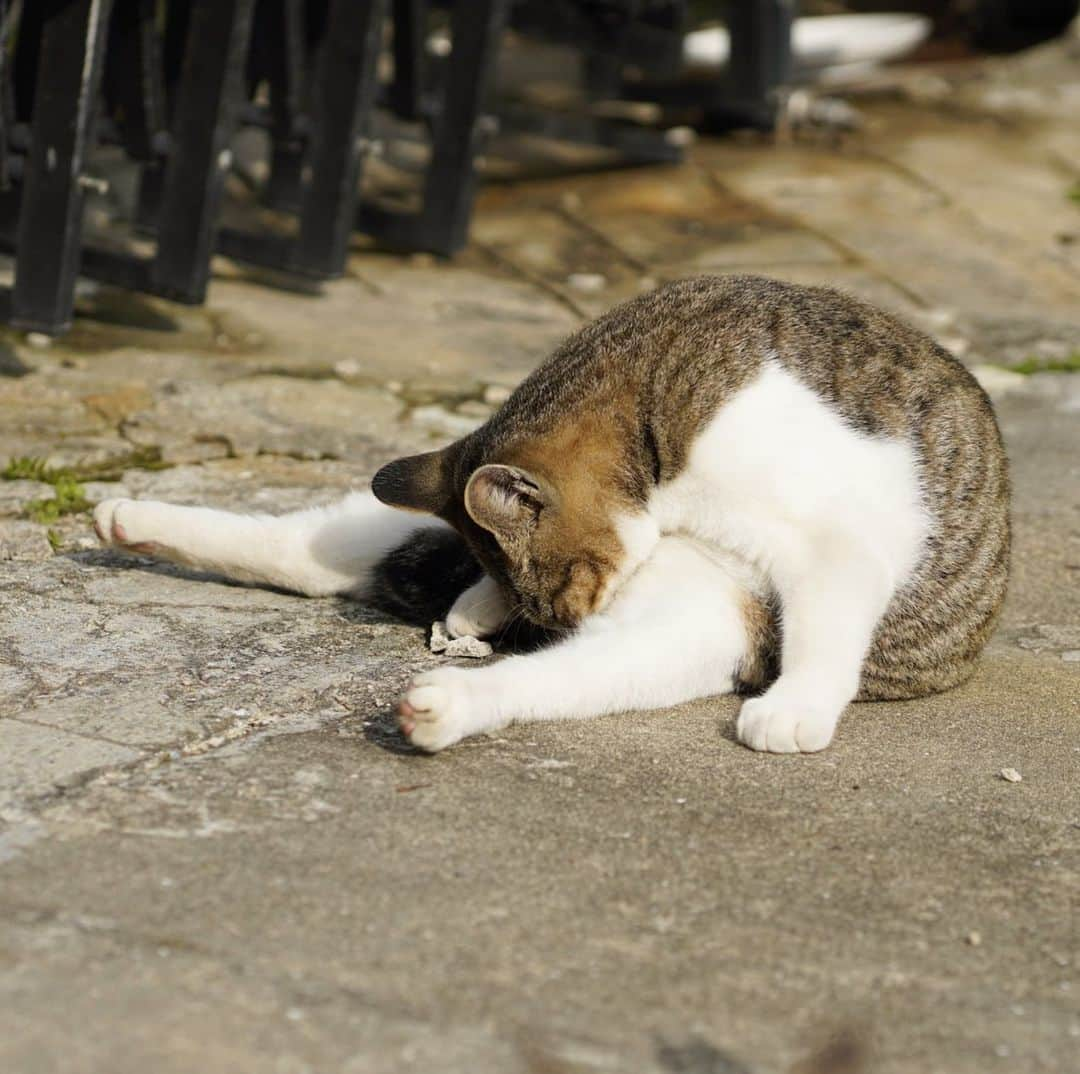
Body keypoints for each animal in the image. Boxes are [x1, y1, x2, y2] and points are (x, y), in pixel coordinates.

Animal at [92, 276, 1010, 752]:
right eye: (550, 581)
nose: (551, 618)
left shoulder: (843, 542)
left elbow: (826, 631)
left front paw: (796, 710)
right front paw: (480, 603)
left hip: (698, 626)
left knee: (555, 677)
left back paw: (442, 706)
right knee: (299, 550)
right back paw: (127, 518)